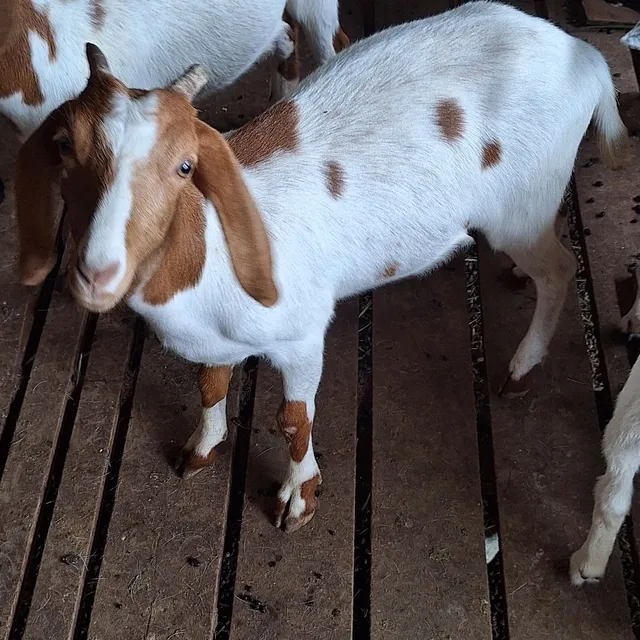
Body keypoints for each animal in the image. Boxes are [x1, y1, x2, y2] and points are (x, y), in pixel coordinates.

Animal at [16, 1, 627, 532]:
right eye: (65, 145)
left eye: (185, 166)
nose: (97, 273)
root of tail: (581, 55)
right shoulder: (214, 341)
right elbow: (210, 384)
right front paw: (201, 448)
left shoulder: (303, 335)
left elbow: (293, 418)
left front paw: (297, 497)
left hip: (520, 204)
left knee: (560, 268)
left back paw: (521, 367)